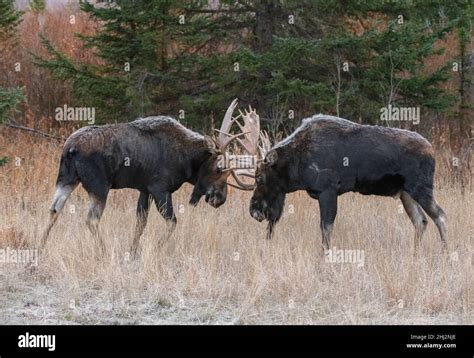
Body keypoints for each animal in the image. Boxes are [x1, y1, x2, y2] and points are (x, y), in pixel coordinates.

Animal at [42, 98, 262, 255]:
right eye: (218, 168)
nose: (220, 198)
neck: (187, 160)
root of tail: (70, 148)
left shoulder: (144, 190)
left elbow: (140, 223)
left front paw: (132, 252)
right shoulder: (160, 189)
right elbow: (172, 222)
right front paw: (155, 248)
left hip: (66, 179)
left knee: (53, 210)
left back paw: (39, 249)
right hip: (99, 186)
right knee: (91, 220)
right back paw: (103, 252)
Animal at [250, 114, 446, 252]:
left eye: (259, 177)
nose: (254, 210)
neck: (296, 165)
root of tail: (432, 151)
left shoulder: (328, 190)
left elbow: (326, 229)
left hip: (421, 188)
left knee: (440, 215)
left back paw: (445, 252)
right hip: (406, 193)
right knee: (420, 221)